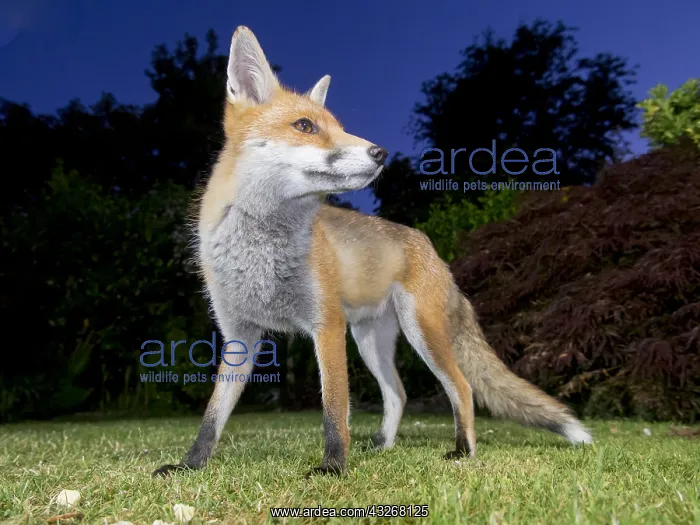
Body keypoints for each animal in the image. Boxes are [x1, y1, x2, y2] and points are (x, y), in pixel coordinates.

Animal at [153, 26, 592, 478]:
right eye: (305, 125)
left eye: (339, 127)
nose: (381, 153)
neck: (261, 251)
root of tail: (431, 248)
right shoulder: (239, 334)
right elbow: (213, 416)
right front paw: (189, 466)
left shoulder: (326, 325)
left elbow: (334, 409)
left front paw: (332, 467)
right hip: (369, 341)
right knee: (398, 392)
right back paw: (383, 445)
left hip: (421, 332)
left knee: (463, 387)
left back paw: (462, 450)